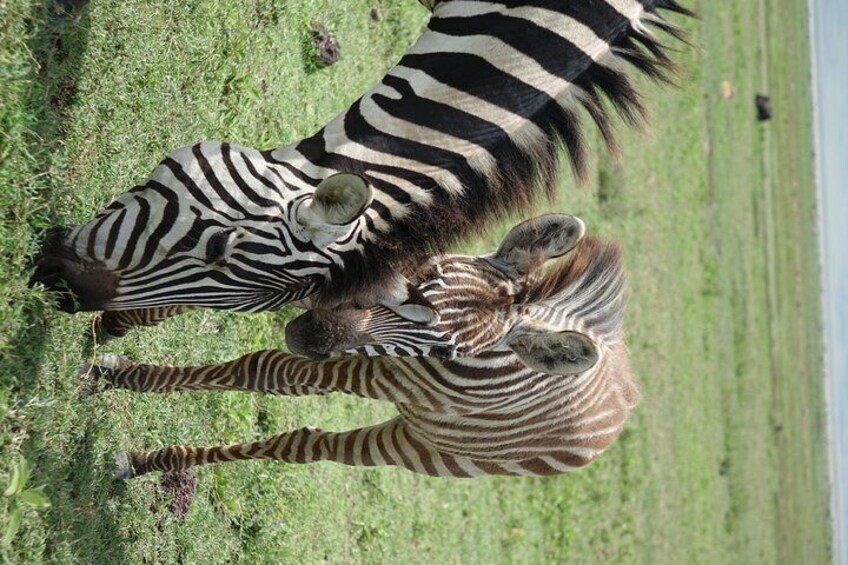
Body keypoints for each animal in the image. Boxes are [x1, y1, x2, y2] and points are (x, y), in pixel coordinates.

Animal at [86, 214, 640, 478]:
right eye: (423, 278)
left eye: (446, 352)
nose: (309, 336)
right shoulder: (353, 282)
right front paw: (111, 322)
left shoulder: (369, 367)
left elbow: (262, 371)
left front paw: (122, 373)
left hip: (422, 450)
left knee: (305, 446)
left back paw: (151, 463)